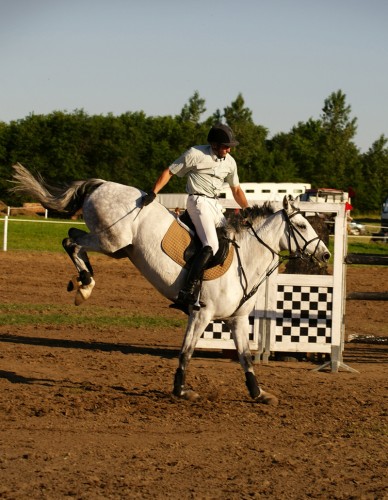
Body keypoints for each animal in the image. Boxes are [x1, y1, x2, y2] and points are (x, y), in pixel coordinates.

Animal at [11, 164, 330, 406]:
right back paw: (85, 286)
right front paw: (181, 390)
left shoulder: (237, 320)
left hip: (116, 247)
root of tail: (102, 184)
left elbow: (245, 357)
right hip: (111, 240)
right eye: (302, 226)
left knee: (73, 237)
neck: (246, 260)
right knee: (71, 242)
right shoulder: (201, 314)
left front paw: (258, 393)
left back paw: (84, 283)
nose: (326, 254)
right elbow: (187, 351)